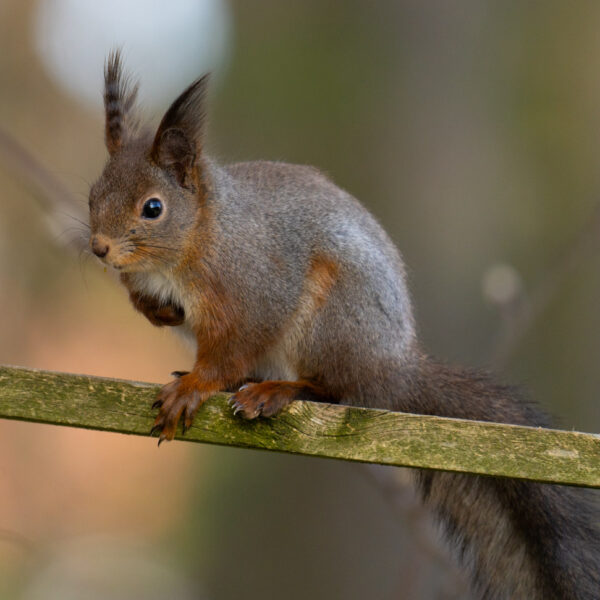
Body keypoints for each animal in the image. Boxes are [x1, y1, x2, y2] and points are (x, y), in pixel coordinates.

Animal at [89, 52, 600, 600]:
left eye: (153, 208)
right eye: (94, 194)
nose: (98, 247)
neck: (198, 236)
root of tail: (394, 366)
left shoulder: (255, 288)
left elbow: (234, 345)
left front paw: (197, 385)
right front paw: (159, 313)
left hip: (330, 324)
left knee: (333, 389)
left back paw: (275, 390)